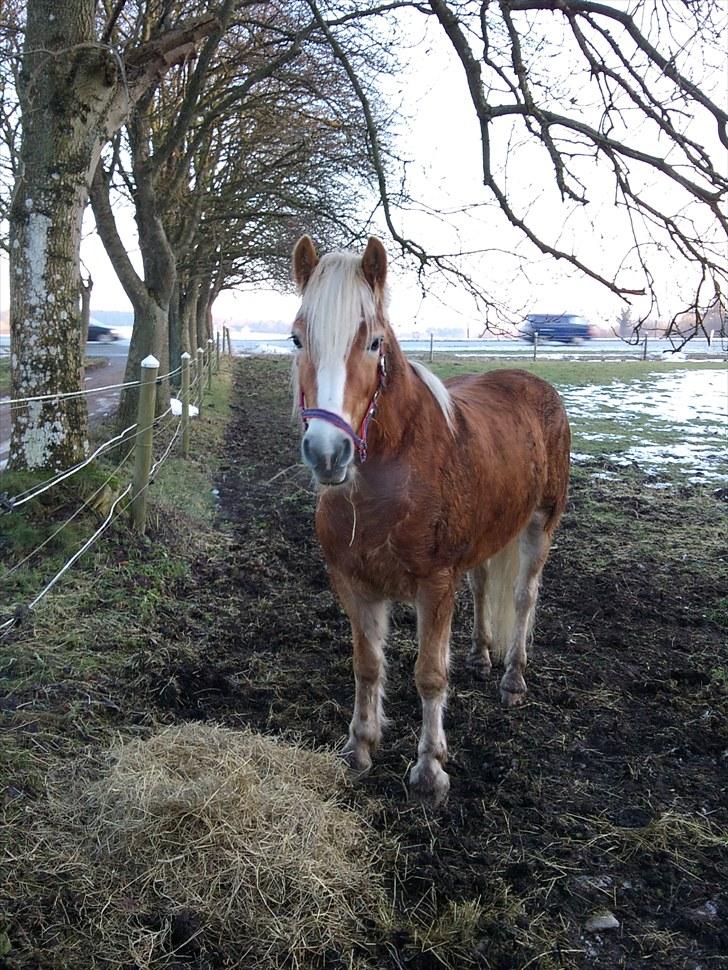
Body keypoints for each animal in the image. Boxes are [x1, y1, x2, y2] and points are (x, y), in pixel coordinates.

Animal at [288, 234, 568, 800]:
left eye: (374, 343)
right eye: (296, 339)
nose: (328, 454)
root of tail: (535, 384)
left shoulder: (434, 586)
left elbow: (429, 674)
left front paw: (430, 769)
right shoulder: (355, 584)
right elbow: (367, 665)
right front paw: (360, 746)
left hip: (539, 526)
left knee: (523, 598)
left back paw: (512, 679)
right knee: (483, 586)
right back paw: (482, 655)